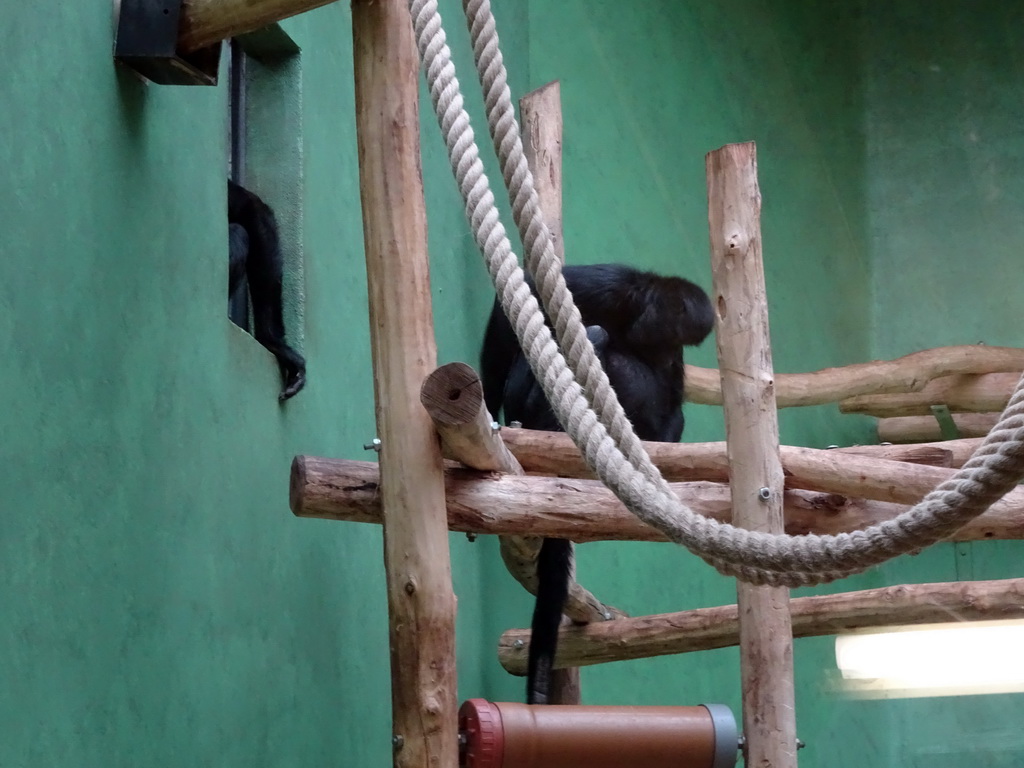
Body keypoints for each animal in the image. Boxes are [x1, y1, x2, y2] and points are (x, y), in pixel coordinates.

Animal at [477, 264, 712, 704]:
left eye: (678, 341)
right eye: (668, 333)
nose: (665, 349)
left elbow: (672, 410)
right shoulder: (610, 286)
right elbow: (525, 296)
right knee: (595, 335)